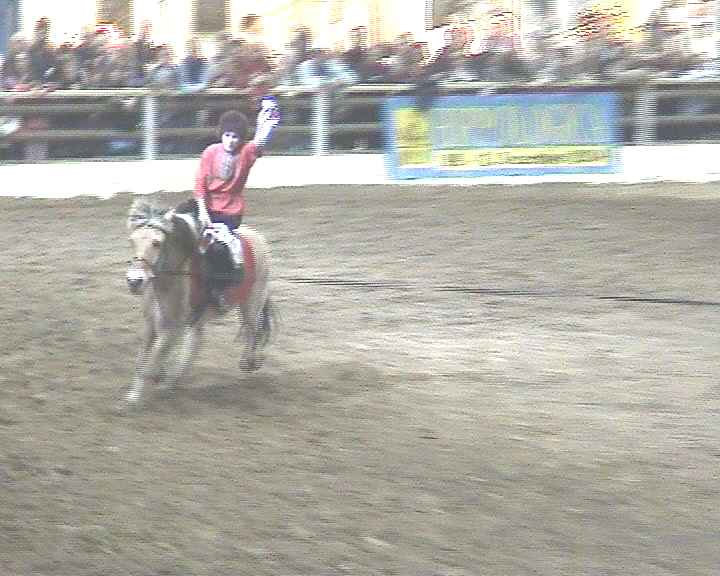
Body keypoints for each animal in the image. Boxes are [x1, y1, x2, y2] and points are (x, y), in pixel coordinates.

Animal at [121, 198, 275, 410]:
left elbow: (153, 359)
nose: (134, 281)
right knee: (197, 341)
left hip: (252, 300)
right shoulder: (151, 325)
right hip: (201, 316)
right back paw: (174, 379)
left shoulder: (174, 328)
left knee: (254, 330)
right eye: (132, 241)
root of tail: (257, 237)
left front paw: (141, 394)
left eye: (156, 243)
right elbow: (143, 360)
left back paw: (250, 362)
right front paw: (134, 396)